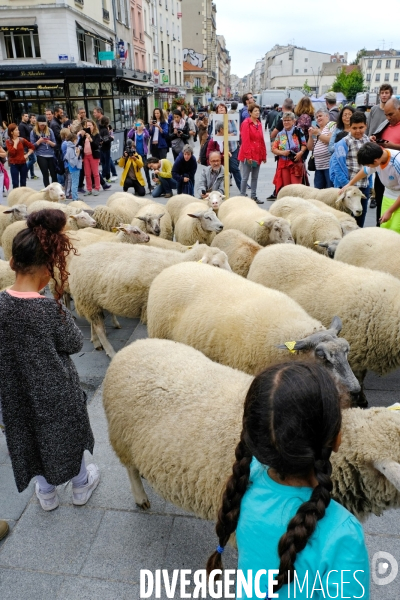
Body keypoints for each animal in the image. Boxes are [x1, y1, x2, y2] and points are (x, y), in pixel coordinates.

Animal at [69, 243, 231, 358]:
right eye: (216, 265)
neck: (181, 262)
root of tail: (80, 255)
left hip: (91, 300)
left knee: (93, 322)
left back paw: (95, 342)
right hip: (87, 297)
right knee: (99, 327)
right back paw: (111, 351)